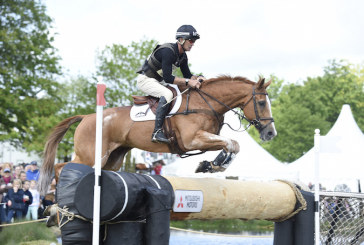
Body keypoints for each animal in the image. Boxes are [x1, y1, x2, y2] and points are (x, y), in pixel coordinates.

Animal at [38, 75, 276, 194]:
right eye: (261, 103)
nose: (271, 133)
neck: (205, 104)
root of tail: (86, 116)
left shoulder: (203, 139)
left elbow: (232, 145)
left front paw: (210, 165)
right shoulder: (191, 140)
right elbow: (231, 142)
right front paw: (213, 164)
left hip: (112, 160)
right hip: (92, 156)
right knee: (62, 167)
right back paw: (55, 205)